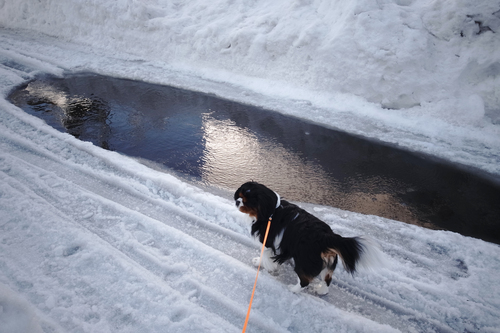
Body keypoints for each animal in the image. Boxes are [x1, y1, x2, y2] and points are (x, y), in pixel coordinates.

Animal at [234, 182, 382, 294]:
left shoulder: (268, 242)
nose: (237, 201)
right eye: (239, 196)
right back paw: (321, 291)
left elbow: (265, 256)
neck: (271, 210)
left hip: (302, 262)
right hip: (328, 262)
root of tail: (326, 237)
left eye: (246, 202)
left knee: (304, 281)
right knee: (327, 279)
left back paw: (293, 289)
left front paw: (260, 263)